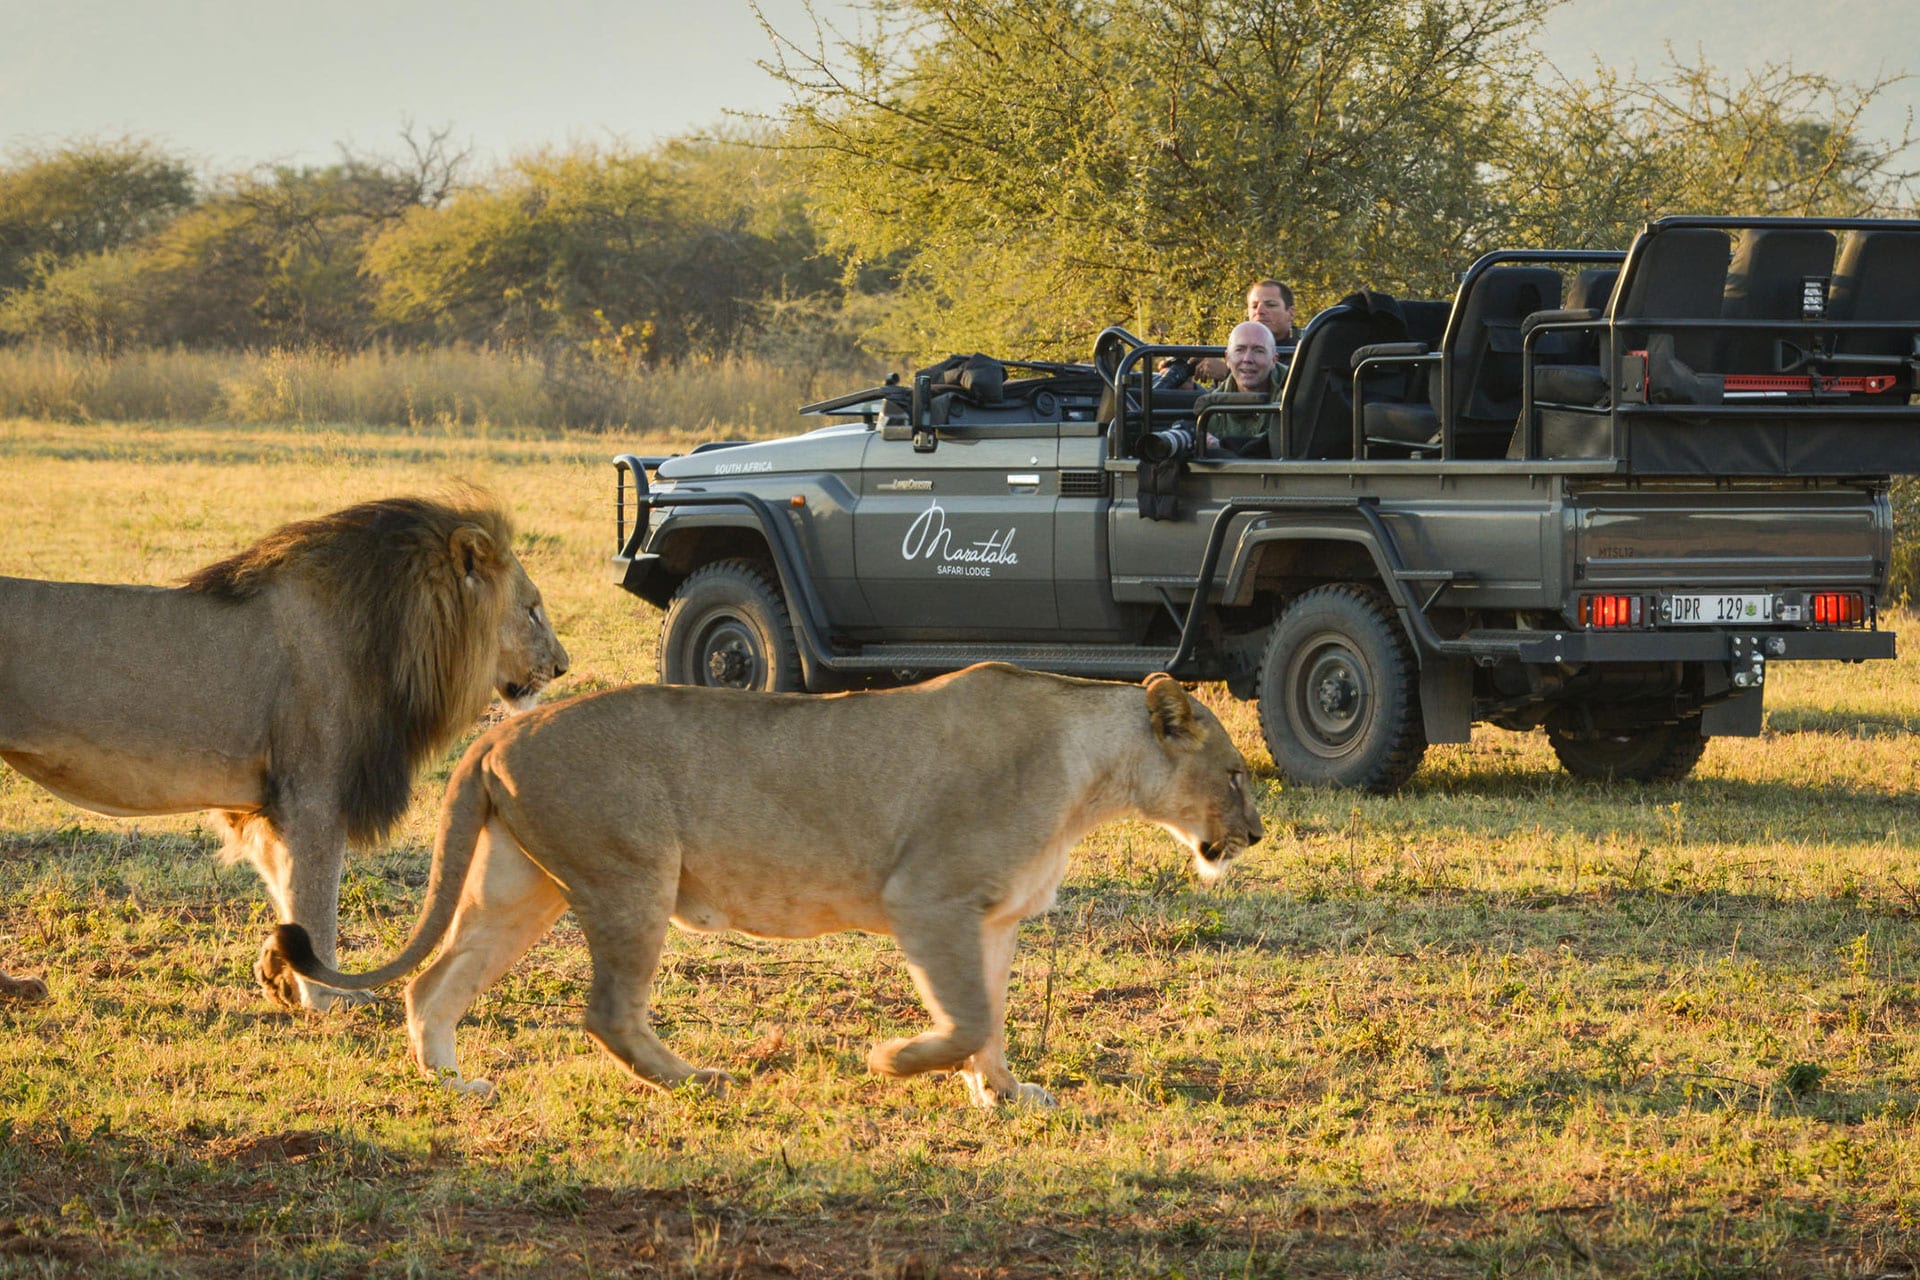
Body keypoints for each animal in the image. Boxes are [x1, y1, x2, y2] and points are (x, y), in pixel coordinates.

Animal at [0, 493, 569, 1010]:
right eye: (533, 611)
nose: (563, 666)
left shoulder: (272, 798)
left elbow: (284, 883)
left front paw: (279, 972)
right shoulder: (315, 790)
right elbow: (316, 896)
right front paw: (331, 999)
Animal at [271, 663, 1263, 1107]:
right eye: (1236, 773)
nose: (1254, 834)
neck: (1091, 772)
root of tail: (500, 731)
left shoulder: (993, 920)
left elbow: (993, 1021)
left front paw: (1004, 1095)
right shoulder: (928, 898)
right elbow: (968, 1016)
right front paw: (894, 1061)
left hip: (524, 888)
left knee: (435, 983)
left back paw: (453, 1083)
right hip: (632, 875)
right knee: (608, 1011)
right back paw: (698, 1079)